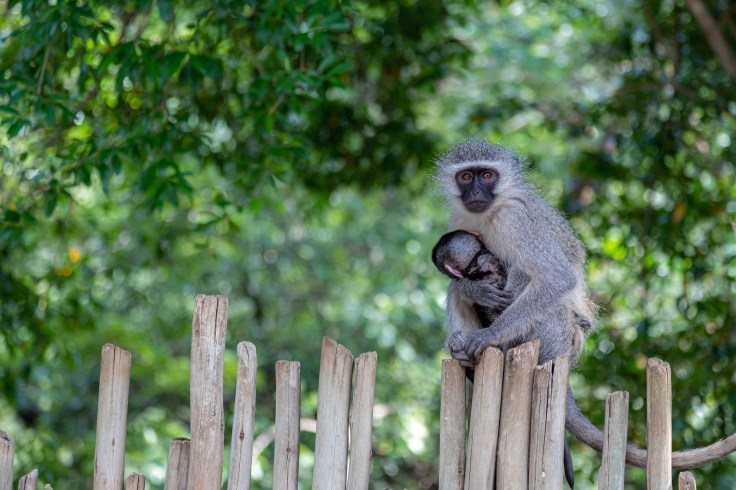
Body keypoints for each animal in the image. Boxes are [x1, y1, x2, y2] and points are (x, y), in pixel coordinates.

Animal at [434, 139, 736, 479]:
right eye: (465, 177)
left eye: (486, 175)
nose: (475, 192)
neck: (491, 212)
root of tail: (564, 355)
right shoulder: (459, 224)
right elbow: (457, 279)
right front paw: (473, 289)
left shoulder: (516, 220)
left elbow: (557, 278)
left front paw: (488, 334)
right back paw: (461, 350)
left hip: (554, 337)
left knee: (539, 290)